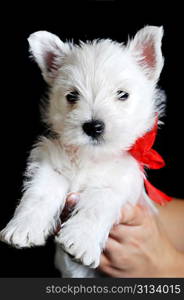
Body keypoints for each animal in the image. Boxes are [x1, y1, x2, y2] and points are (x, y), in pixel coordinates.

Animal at [0, 25, 165, 276]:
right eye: (72, 96)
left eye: (123, 94)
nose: (93, 126)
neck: (91, 157)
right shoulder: (51, 166)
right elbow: (40, 193)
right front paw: (23, 227)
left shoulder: (120, 184)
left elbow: (98, 203)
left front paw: (79, 241)